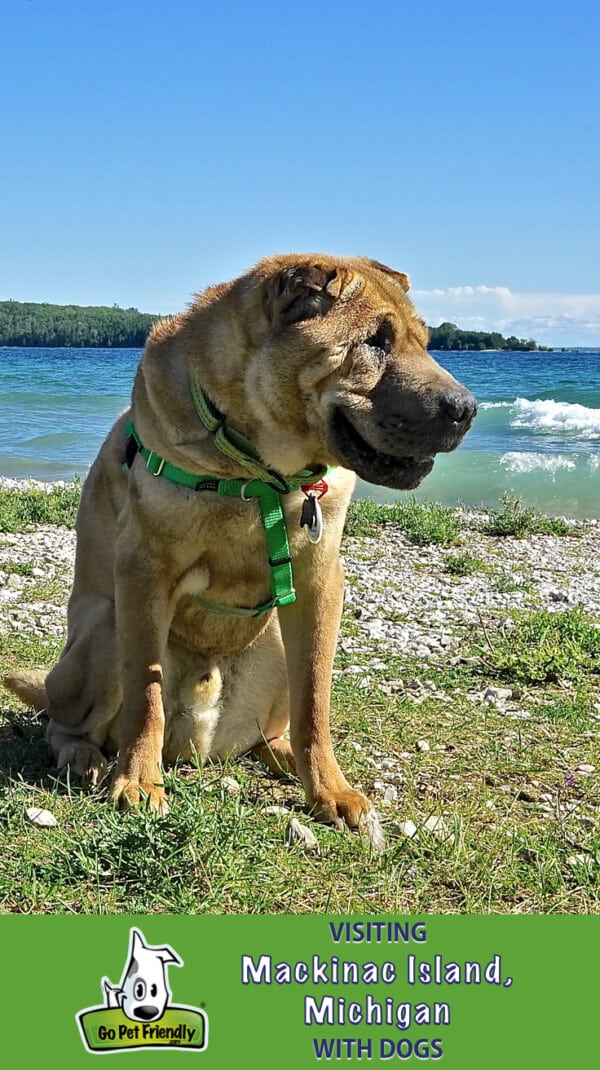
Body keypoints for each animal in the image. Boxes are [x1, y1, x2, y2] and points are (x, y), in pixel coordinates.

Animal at [2, 254, 474, 830]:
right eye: (374, 341)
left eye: (423, 342)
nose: (467, 409)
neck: (258, 469)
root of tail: (197, 747)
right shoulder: (143, 572)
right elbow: (145, 696)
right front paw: (137, 782)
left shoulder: (320, 581)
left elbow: (314, 703)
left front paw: (330, 789)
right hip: (106, 629)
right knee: (63, 722)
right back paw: (84, 757)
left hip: (274, 646)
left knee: (271, 732)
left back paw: (284, 755)